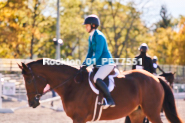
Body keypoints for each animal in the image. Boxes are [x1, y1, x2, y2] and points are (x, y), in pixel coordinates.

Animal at [17, 59, 182, 122]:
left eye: (29, 80)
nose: (31, 103)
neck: (72, 85)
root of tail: (155, 78)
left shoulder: (79, 118)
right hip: (137, 113)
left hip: (152, 112)